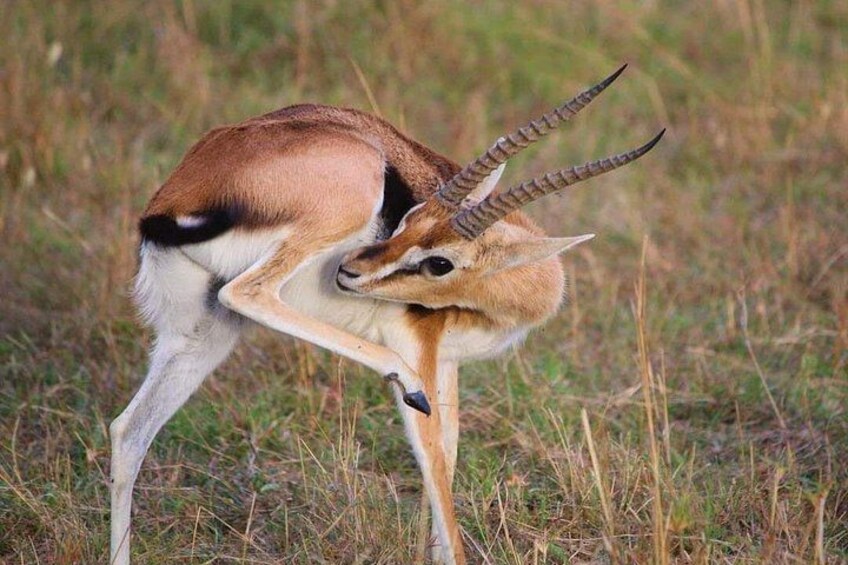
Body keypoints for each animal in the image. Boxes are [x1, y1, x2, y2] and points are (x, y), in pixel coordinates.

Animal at [109, 65, 662, 564]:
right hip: (332, 218)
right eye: (407, 217)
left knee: (128, 431)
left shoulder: (448, 363)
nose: (349, 271)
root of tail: (175, 202)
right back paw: (400, 376)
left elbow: (449, 457)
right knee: (247, 291)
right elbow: (435, 468)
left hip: (201, 335)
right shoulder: (419, 348)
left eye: (437, 258)